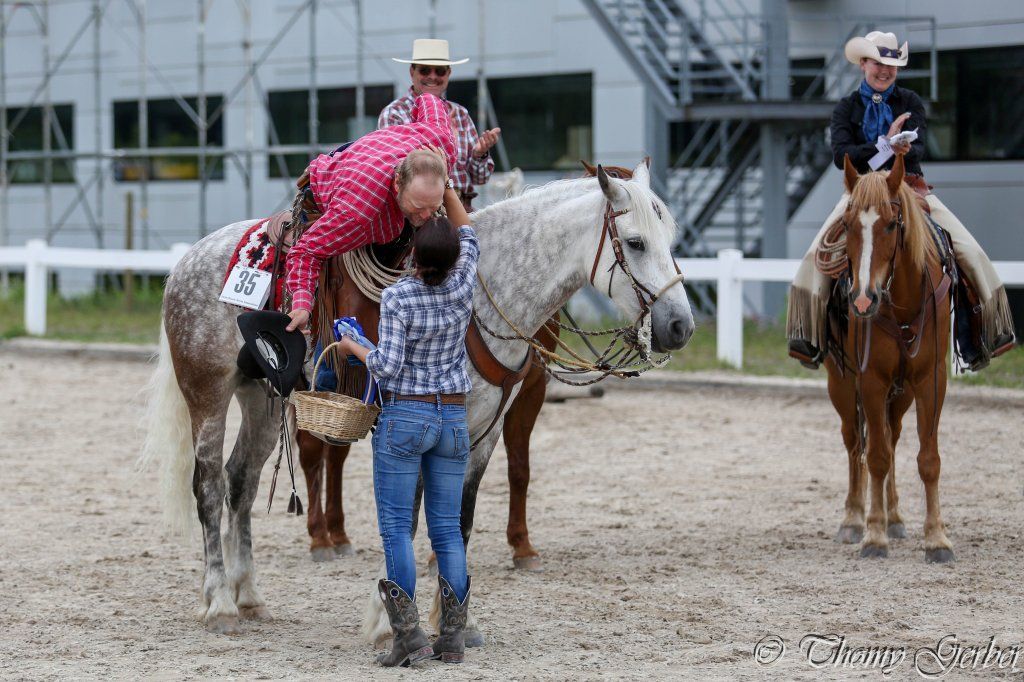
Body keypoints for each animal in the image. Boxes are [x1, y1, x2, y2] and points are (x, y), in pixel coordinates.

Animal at [141, 161, 695, 635]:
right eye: (635, 242)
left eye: (671, 240)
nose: (680, 326)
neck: (478, 294)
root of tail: (188, 261)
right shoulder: (409, 428)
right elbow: (407, 519)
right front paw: (388, 619)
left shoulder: (482, 434)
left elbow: (457, 521)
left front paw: (453, 617)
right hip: (208, 392)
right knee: (209, 486)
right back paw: (218, 602)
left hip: (263, 397)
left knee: (241, 483)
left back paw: (249, 595)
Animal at [824, 153, 955, 563]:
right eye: (848, 225)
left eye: (892, 224)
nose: (864, 299)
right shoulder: (871, 380)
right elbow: (875, 456)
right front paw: (873, 534)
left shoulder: (931, 380)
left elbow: (928, 459)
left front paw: (937, 538)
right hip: (842, 385)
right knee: (856, 444)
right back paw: (854, 519)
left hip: (902, 393)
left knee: (892, 437)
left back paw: (895, 516)